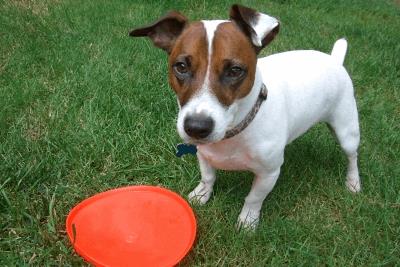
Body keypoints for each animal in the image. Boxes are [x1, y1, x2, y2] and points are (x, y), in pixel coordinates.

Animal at [130, 4, 360, 229]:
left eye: (235, 70)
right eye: (181, 67)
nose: (196, 127)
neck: (235, 130)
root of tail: (334, 59)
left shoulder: (269, 173)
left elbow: (254, 198)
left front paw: (248, 220)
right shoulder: (204, 155)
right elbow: (208, 177)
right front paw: (202, 194)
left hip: (347, 130)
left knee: (351, 156)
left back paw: (353, 182)